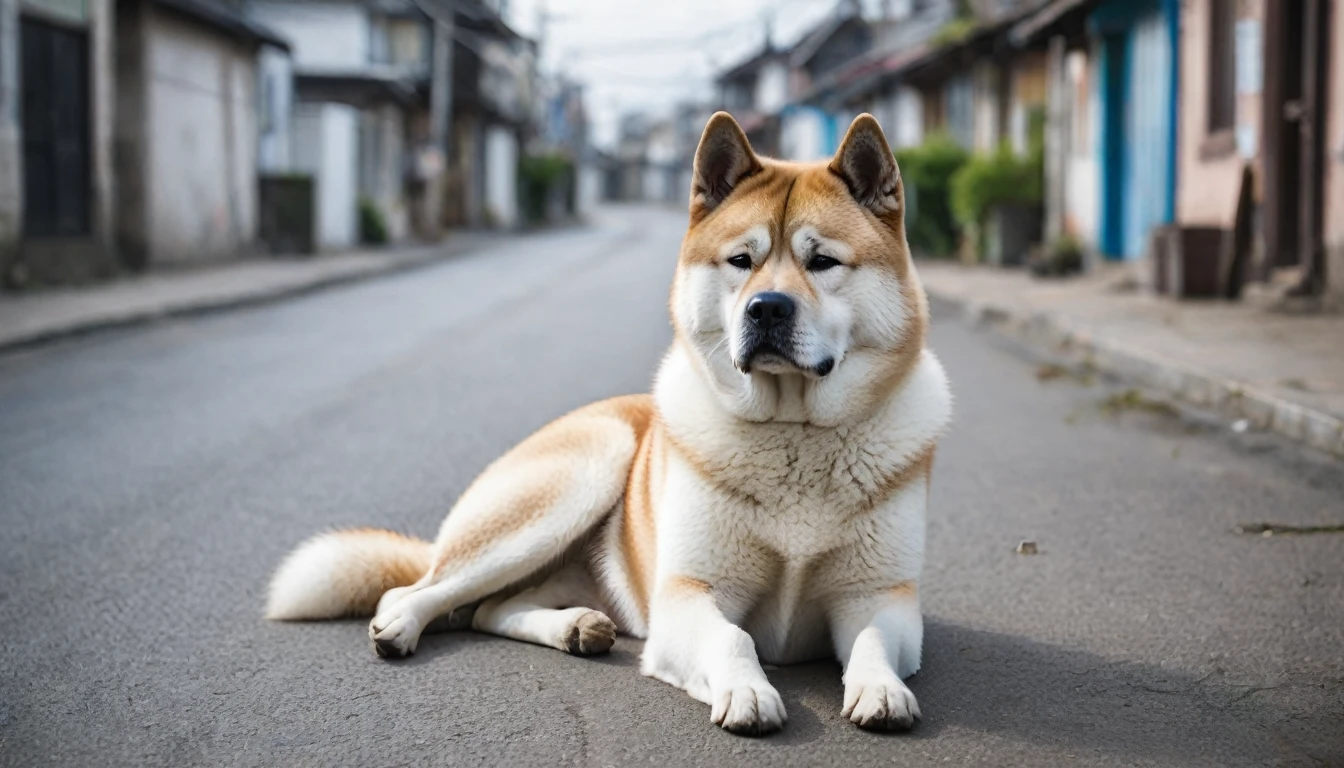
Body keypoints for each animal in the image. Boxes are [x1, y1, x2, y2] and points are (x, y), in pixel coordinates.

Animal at [267, 110, 951, 737]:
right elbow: (732, 639)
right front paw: (748, 691)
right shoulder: (687, 593)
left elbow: (871, 640)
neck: (792, 431)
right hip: (582, 471)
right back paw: (400, 627)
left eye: (823, 261)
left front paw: (880, 689)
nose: (766, 308)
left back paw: (576, 626)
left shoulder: (881, 597)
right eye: (741, 260)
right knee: (417, 590)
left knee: (491, 609)